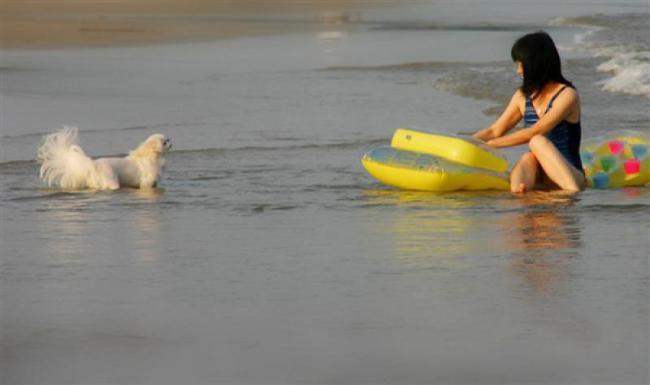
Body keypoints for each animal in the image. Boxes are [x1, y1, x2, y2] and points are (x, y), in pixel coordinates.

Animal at [37, 127, 171, 190]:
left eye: (167, 139)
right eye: (164, 143)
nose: (170, 140)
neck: (152, 157)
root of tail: (92, 165)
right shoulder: (146, 184)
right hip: (112, 181)